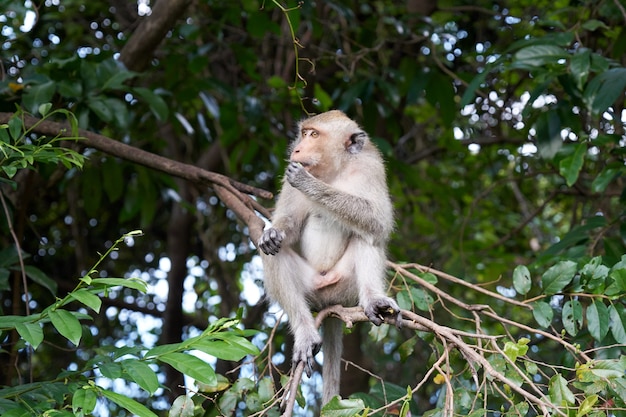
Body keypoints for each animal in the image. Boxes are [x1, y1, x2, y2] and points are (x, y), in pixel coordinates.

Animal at [258, 109, 400, 404]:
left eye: (314, 135)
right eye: (303, 133)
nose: (297, 149)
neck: (334, 172)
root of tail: (330, 301)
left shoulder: (371, 167)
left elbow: (377, 220)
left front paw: (310, 185)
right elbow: (287, 228)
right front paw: (273, 232)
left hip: (345, 286)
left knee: (367, 233)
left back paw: (373, 300)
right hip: (312, 288)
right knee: (273, 253)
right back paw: (305, 332)